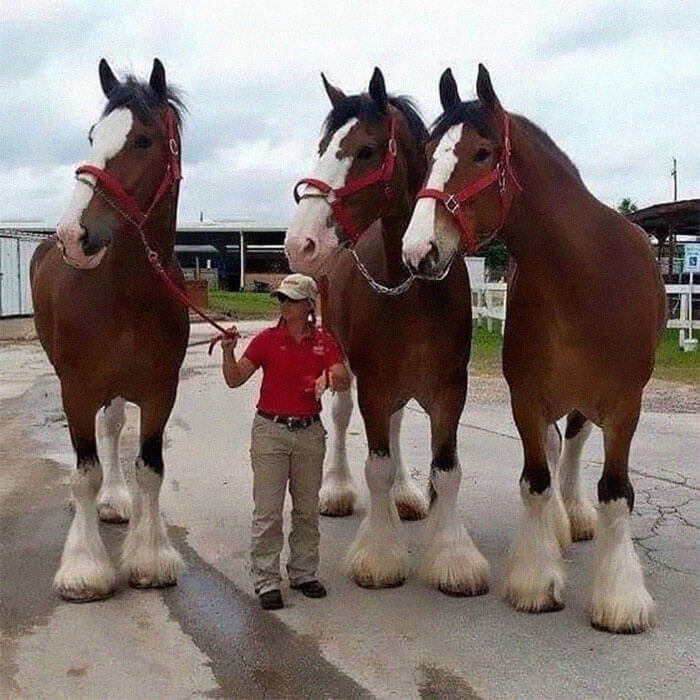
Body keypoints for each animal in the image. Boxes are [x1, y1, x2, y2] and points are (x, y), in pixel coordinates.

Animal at [30, 58, 189, 601]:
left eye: (142, 139)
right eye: (93, 135)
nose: (72, 236)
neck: (127, 295)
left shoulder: (161, 391)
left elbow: (150, 470)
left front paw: (149, 555)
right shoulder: (76, 389)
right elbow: (84, 473)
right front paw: (84, 568)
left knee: (116, 426)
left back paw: (117, 501)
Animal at [284, 68, 489, 596]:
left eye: (366, 150)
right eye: (323, 146)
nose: (300, 243)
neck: (414, 288)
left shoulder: (449, 389)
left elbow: (447, 470)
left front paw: (453, 557)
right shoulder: (374, 384)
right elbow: (374, 465)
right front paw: (379, 554)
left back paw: (404, 494)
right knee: (340, 417)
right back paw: (336, 488)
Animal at [402, 65, 666, 633]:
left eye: (482, 153)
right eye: (430, 150)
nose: (418, 251)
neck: (582, 278)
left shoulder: (624, 406)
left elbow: (616, 494)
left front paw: (620, 599)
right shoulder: (525, 397)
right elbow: (535, 481)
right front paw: (536, 579)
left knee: (576, 445)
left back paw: (577, 518)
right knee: (554, 447)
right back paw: (559, 529)